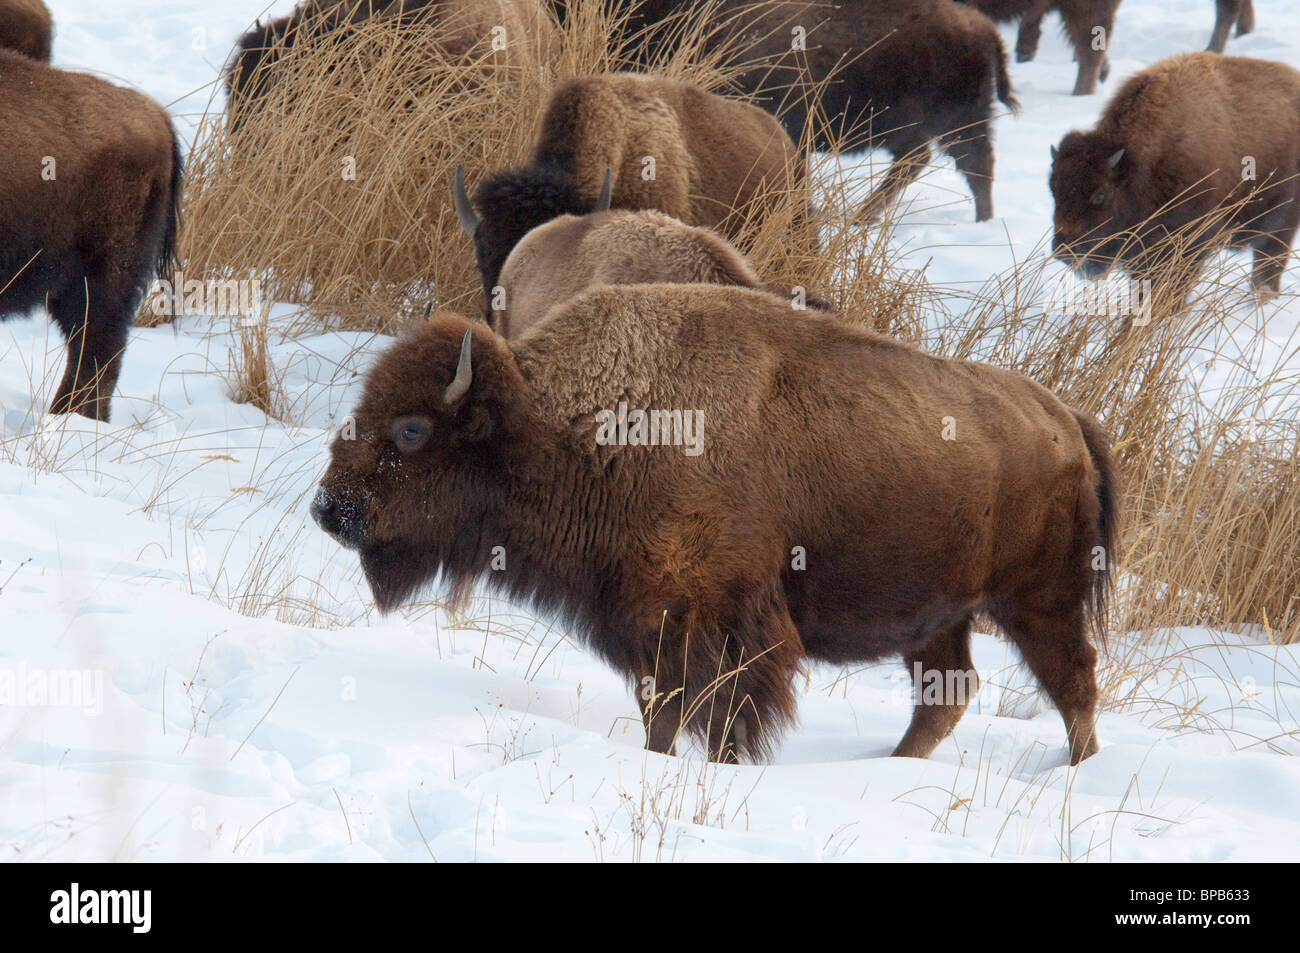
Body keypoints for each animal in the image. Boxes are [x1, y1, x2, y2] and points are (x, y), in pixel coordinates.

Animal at [312, 285, 1115, 765]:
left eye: (411, 430)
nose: (328, 508)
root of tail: (1067, 420)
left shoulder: (713, 621)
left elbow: (712, 711)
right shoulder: (652, 626)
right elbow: (665, 711)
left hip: (1038, 600)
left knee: (1072, 679)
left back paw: (1074, 770)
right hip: (940, 615)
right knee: (948, 694)